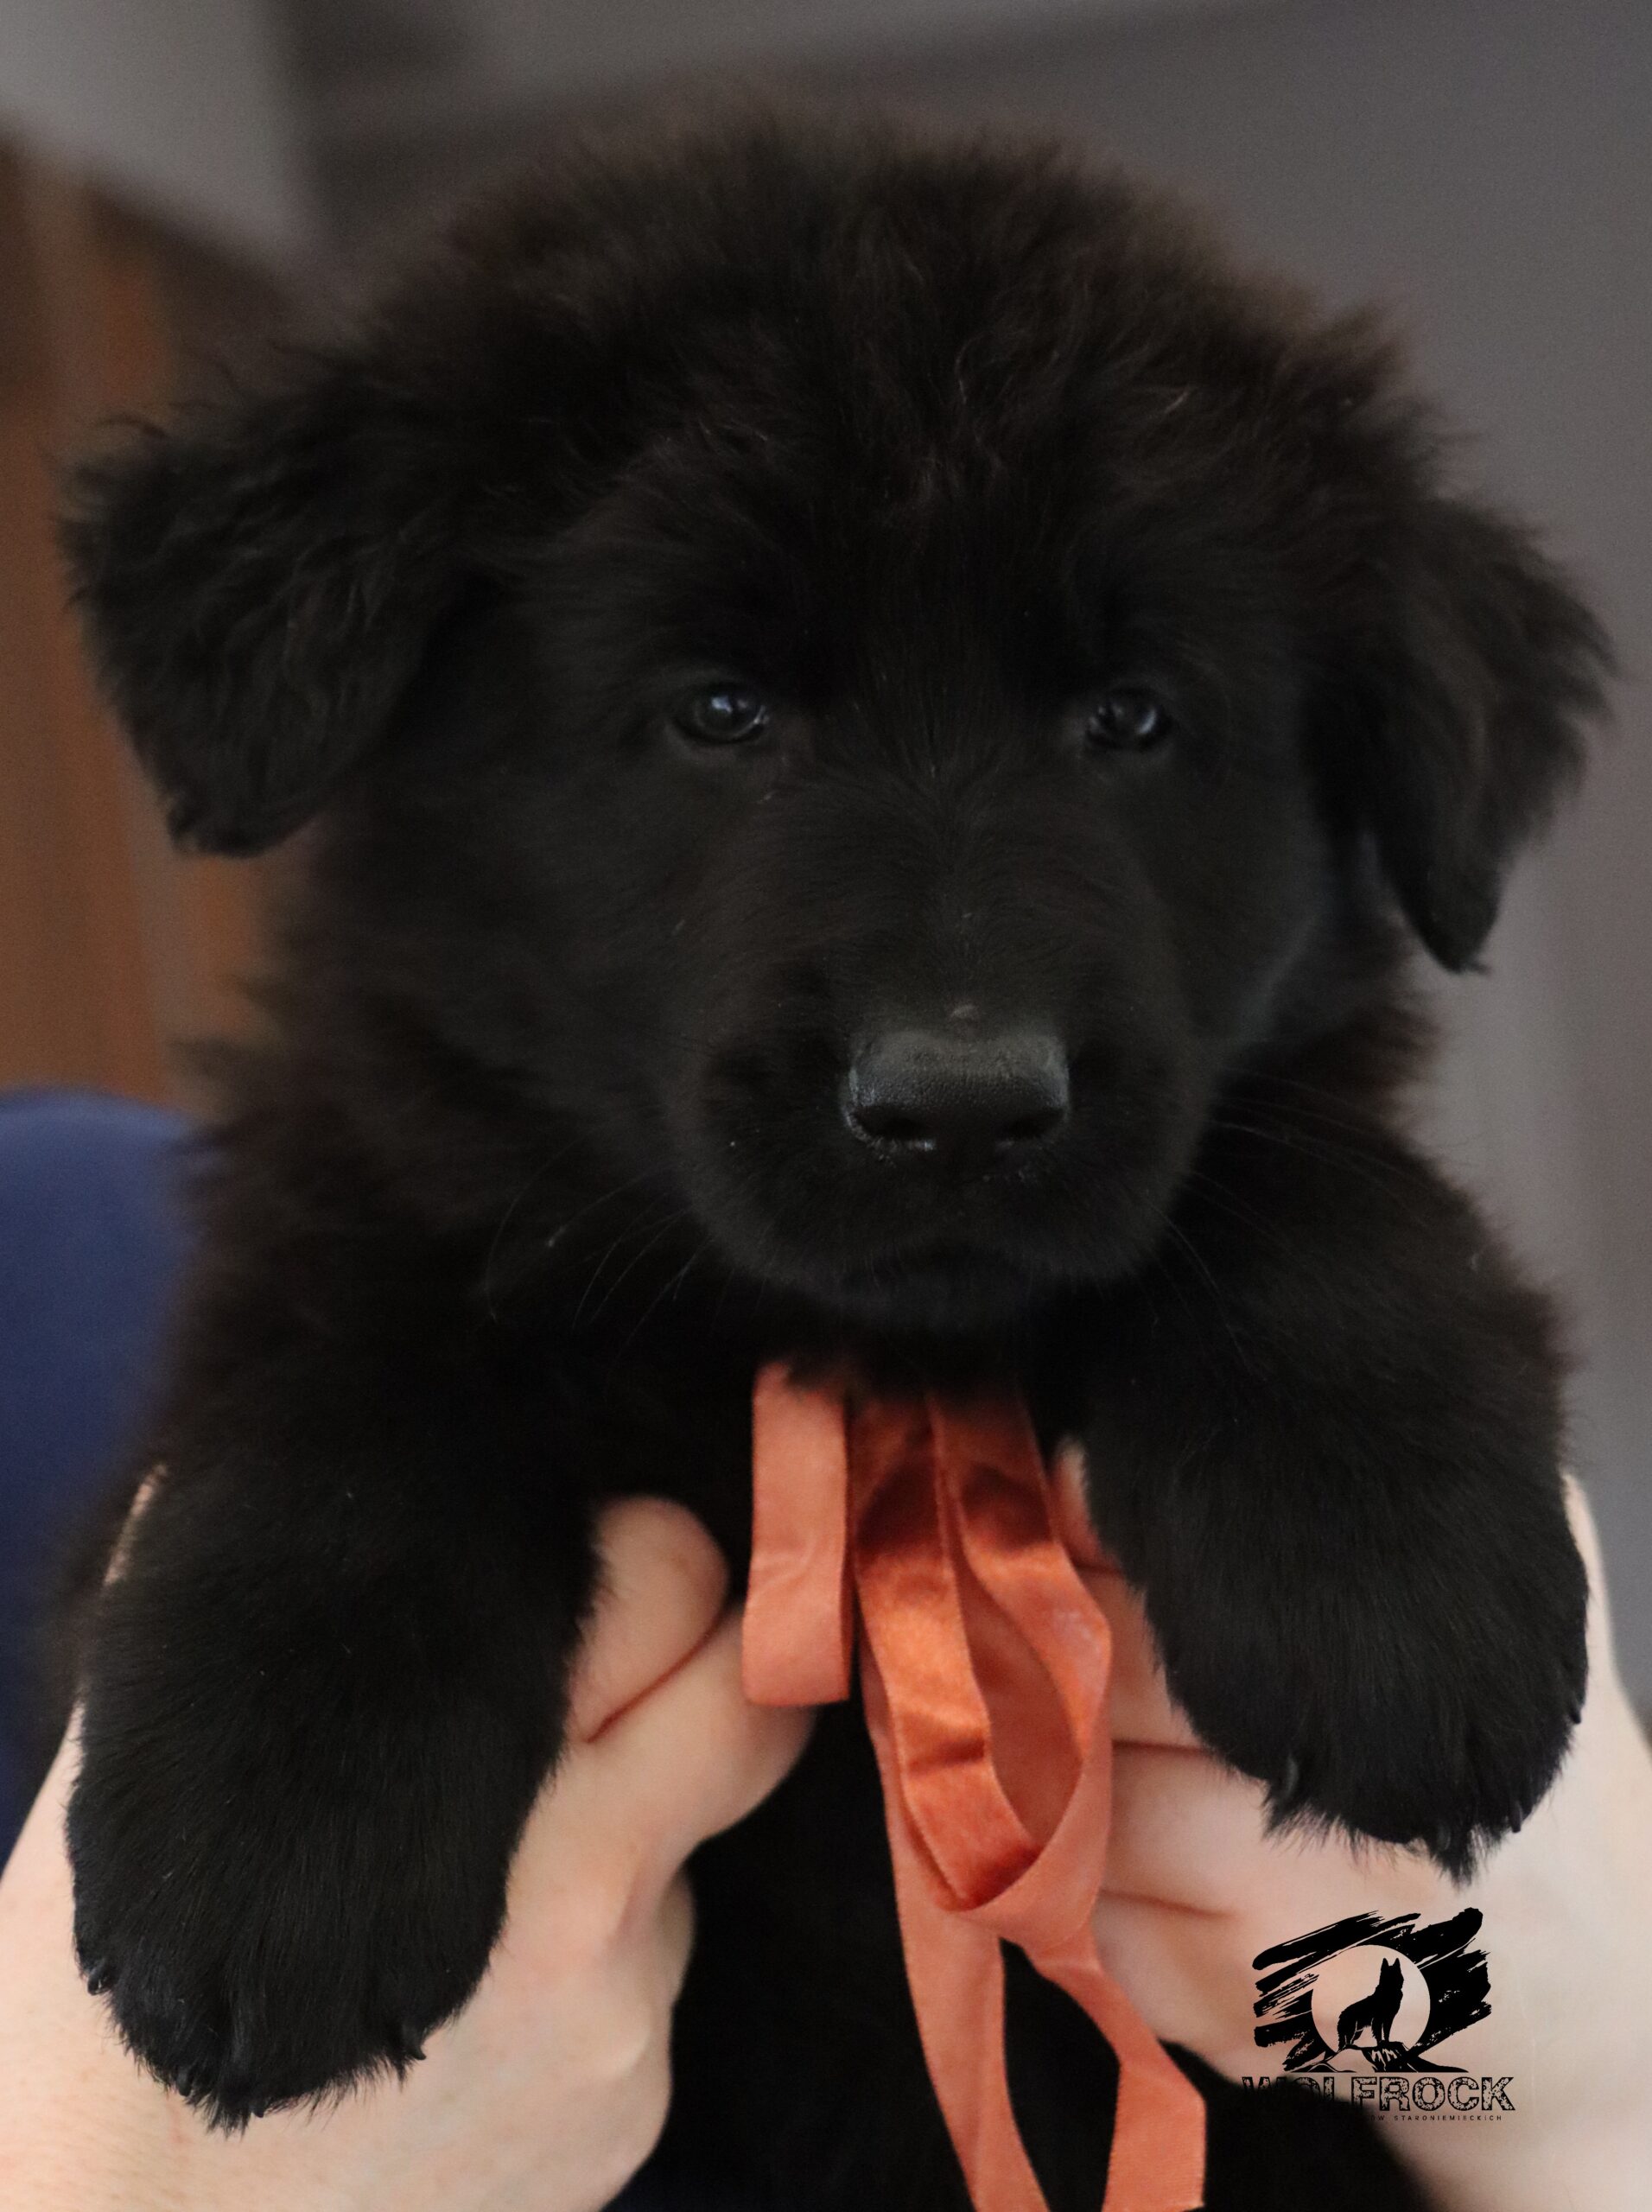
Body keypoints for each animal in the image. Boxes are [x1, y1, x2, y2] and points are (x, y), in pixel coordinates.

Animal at [58, 112, 1605, 2207]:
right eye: (718, 709)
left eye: (1130, 718)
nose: (959, 1100)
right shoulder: (377, 1205)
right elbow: (337, 1387)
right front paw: (264, 1834)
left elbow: (1308, 1177)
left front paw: (1389, 1580)